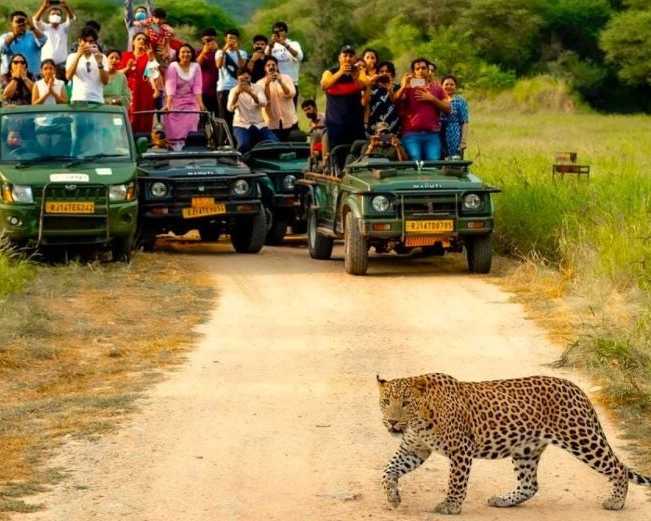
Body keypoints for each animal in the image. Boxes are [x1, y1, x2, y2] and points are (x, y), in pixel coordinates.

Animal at [377, 372, 651, 515]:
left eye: (405, 403)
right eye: (386, 401)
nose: (392, 421)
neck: (420, 420)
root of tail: (577, 388)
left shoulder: (461, 449)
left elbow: (456, 481)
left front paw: (451, 506)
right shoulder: (413, 449)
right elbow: (388, 470)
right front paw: (393, 496)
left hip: (582, 438)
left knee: (618, 468)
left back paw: (616, 502)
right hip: (526, 449)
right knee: (530, 484)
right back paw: (503, 500)